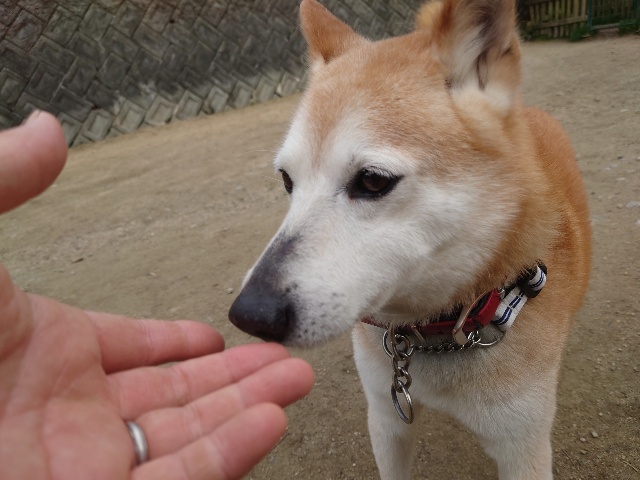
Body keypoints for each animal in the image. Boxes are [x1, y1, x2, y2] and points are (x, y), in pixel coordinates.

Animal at [229, 0, 591, 478]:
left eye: (372, 180)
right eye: (288, 180)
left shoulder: (522, 447)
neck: (443, 329)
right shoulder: (386, 418)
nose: (250, 315)